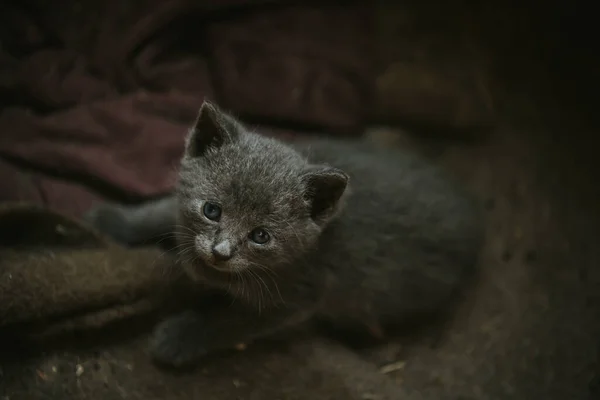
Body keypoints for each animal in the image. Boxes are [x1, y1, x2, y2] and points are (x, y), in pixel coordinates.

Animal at [85, 101, 482, 368]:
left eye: (260, 236)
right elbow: (161, 210)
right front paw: (110, 220)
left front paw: (178, 338)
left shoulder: (297, 297)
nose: (221, 251)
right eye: (212, 211)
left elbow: (231, 321)